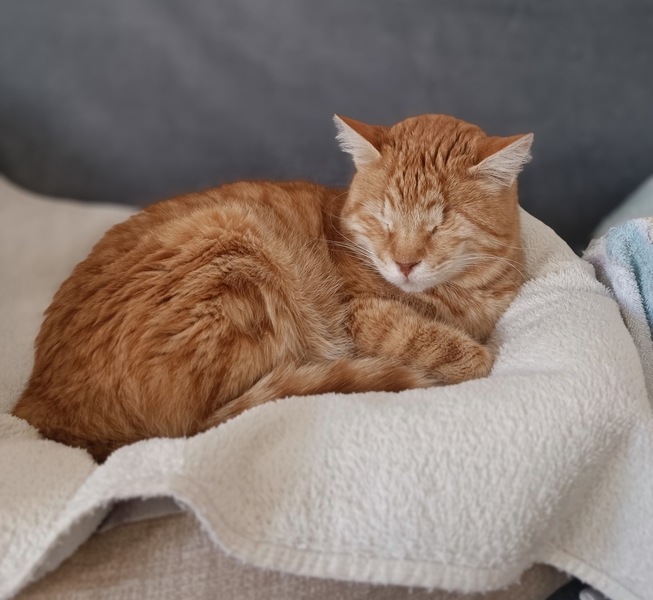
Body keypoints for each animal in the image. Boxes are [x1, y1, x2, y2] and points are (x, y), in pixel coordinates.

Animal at [12, 113, 532, 462]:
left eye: (441, 221)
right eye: (383, 217)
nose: (404, 263)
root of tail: (37, 403)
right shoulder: (363, 316)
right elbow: (465, 353)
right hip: (237, 254)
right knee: (210, 420)